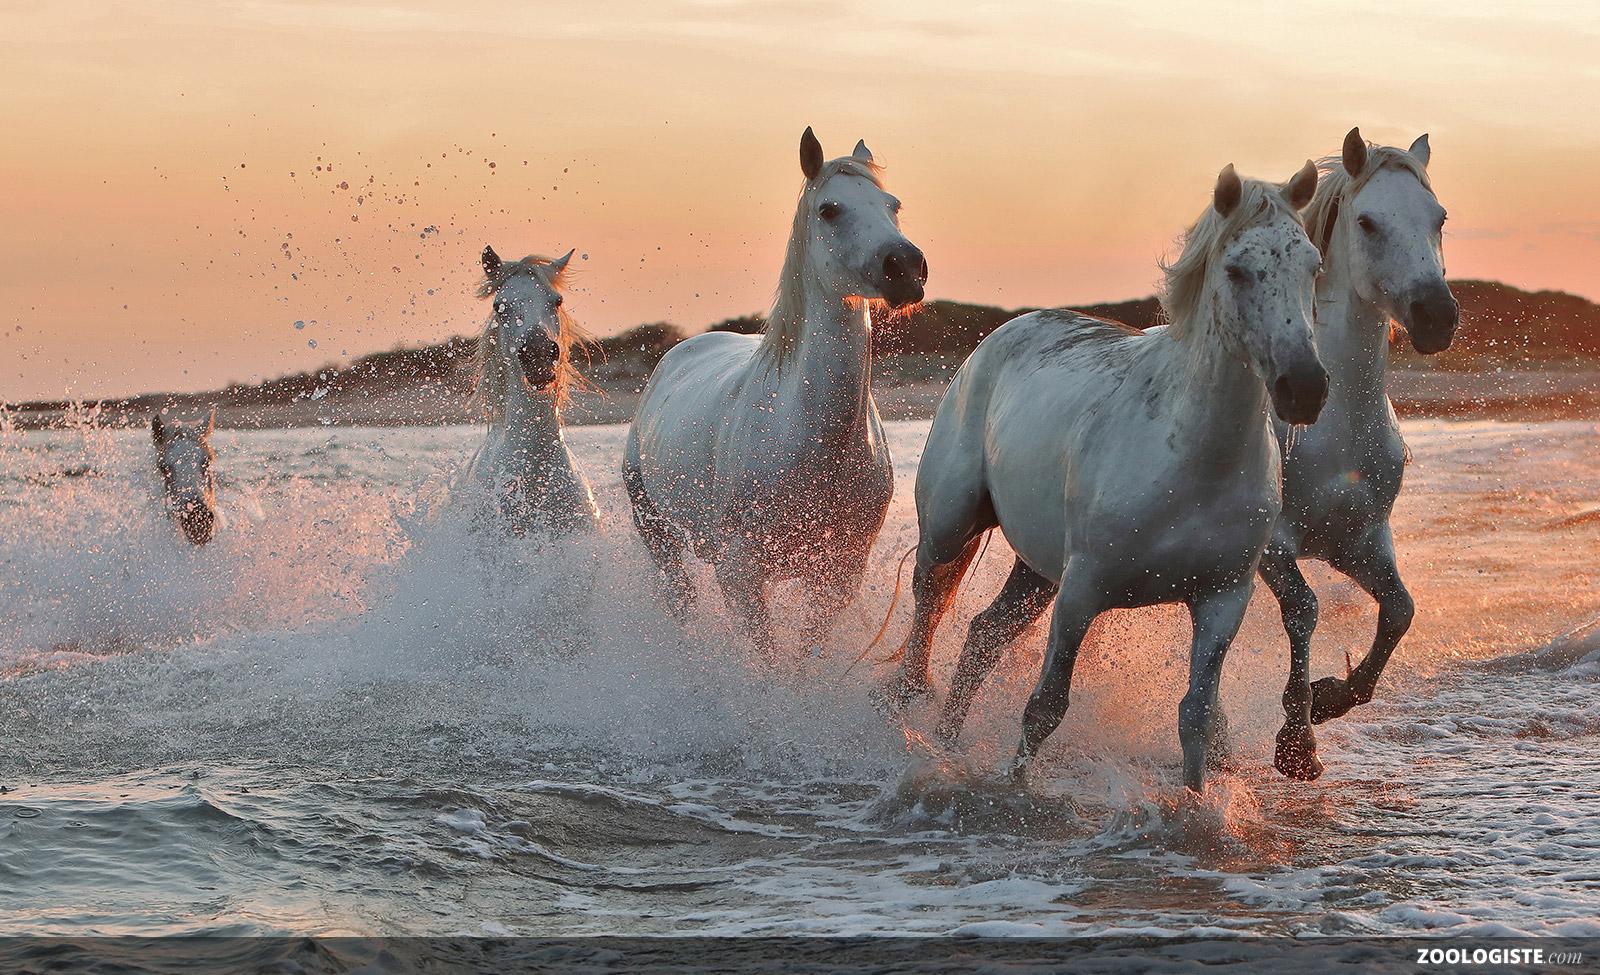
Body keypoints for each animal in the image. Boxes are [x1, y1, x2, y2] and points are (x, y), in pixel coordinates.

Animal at [623, 127, 927, 652]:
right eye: (829, 209)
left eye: (894, 204)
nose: (906, 267)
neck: (813, 436)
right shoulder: (740, 573)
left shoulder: (838, 575)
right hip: (657, 534)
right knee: (680, 599)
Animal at [890, 161, 1326, 793]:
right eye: (1237, 269)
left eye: (1313, 264)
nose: (1305, 388)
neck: (1193, 462)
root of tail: (996, 339)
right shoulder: (1082, 590)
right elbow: (1045, 707)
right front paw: (1015, 793)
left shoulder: (1222, 599)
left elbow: (1196, 716)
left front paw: (1195, 806)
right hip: (953, 527)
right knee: (928, 602)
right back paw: (908, 703)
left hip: (1037, 571)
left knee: (981, 637)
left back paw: (946, 743)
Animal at [1260, 129, 1457, 780]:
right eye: (1368, 222)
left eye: (1439, 218)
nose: (1437, 317)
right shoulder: (1274, 546)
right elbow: (1304, 609)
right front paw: (1297, 743)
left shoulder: (1360, 540)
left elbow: (1400, 611)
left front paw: (1330, 698)